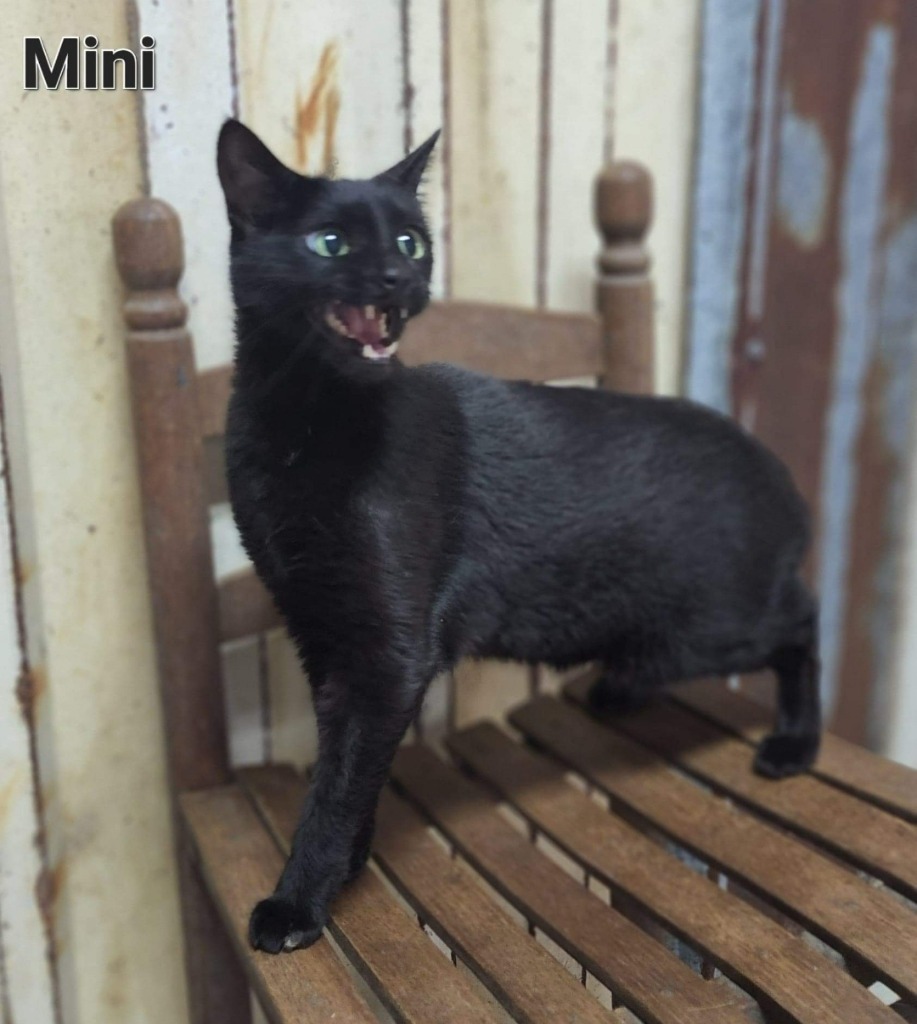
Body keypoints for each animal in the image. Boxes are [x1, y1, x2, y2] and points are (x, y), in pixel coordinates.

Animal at [216, 117, 822, 950]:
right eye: (330, 244)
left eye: (408, 242)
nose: (398, 280)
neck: (302, 425)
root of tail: (780, 477)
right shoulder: (323, 633)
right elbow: (350, 763)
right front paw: (346, 862)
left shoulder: (392, 650)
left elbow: (339, 779)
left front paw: (300, 897)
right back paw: (620, 689)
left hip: (710, 625)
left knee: (801, 619)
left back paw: (794, 741)